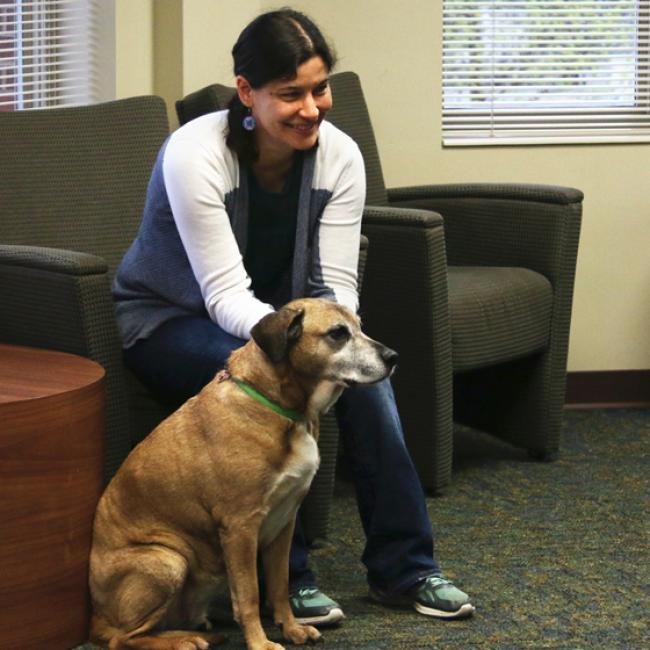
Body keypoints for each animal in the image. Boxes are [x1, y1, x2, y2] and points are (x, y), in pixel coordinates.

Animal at [88, 298, 398, 648]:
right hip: (167, 560)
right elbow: (249, 594)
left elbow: (279, 585)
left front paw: (291, 628)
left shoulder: (284, 523)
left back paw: (199, 634)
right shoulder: (240, 526)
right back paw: (183, 640)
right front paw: (260, 642)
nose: (393, 357)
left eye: (359, 326)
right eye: (337, 333)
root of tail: (96, 614)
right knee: (123, 638)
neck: (282, 408)